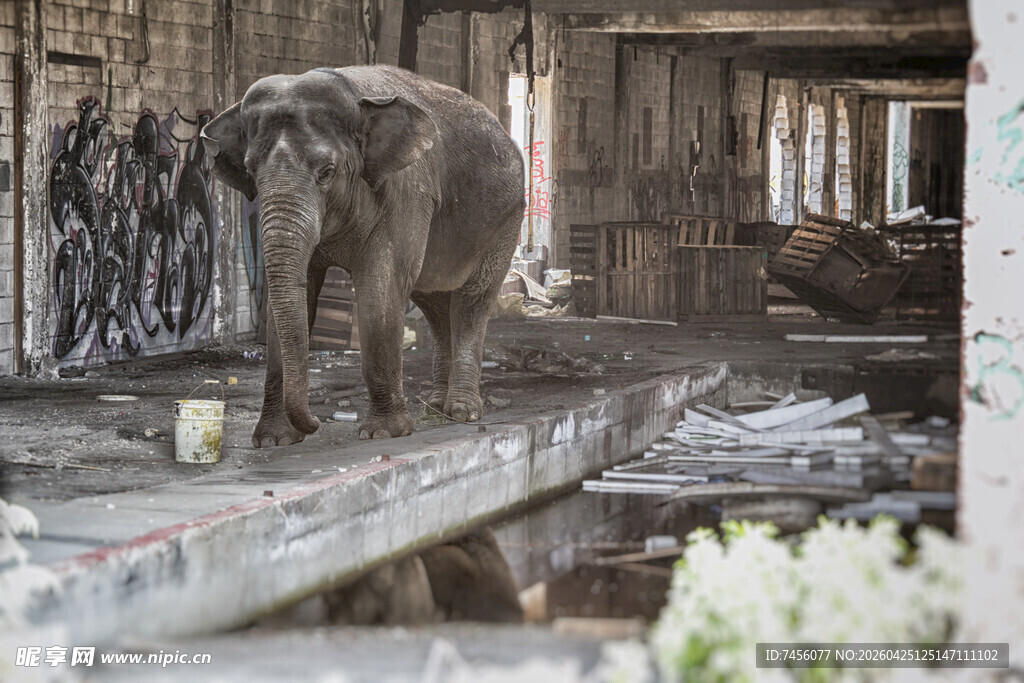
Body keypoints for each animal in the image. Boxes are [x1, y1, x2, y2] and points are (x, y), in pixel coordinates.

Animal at [201, 66, 524, 447]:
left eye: (326, 171)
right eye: (251, 172)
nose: (315, 422)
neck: (353, 95)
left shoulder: (406, 193)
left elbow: (380, 289)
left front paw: (384, 433)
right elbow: (299, 292)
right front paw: (274, 440)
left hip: (506, 222)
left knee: (472, 301)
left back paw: (461, 412)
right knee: (435, 304)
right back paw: (435, 408)